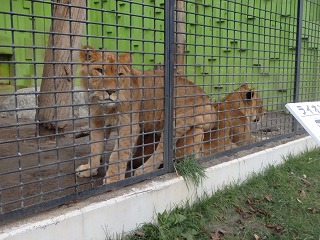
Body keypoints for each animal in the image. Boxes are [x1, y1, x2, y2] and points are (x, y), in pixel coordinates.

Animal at [76, 46, 219, 183]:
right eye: (99, 70)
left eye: (119, 74)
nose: (111, 91)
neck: (102, 107)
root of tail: (208, 101)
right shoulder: (97, 123)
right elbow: (95, 149)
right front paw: (89, 169)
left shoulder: (129, 126)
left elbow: (117, 154)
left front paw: (113, 179)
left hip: (176, 121)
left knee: (162, 150)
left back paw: (144, 170)